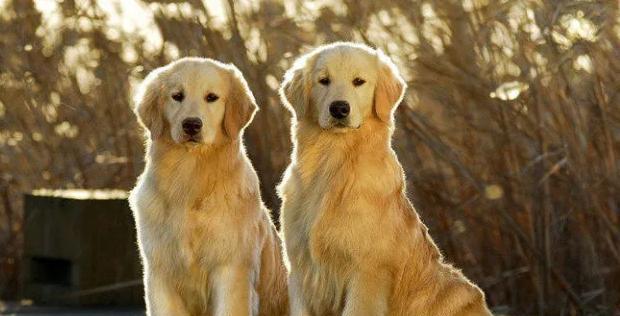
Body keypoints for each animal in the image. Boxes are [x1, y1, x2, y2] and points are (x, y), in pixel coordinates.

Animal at [130, 57, 290, 316]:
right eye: (177, 96)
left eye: (212, 97)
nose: (191, 125)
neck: (190, 178)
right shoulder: (160, 274)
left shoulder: (230, 270)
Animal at [278, 42, 492, 316]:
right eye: (323, 81)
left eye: (359, 81)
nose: (339, 108)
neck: (334, 163)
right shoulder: (300, 270)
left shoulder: (367, 273)